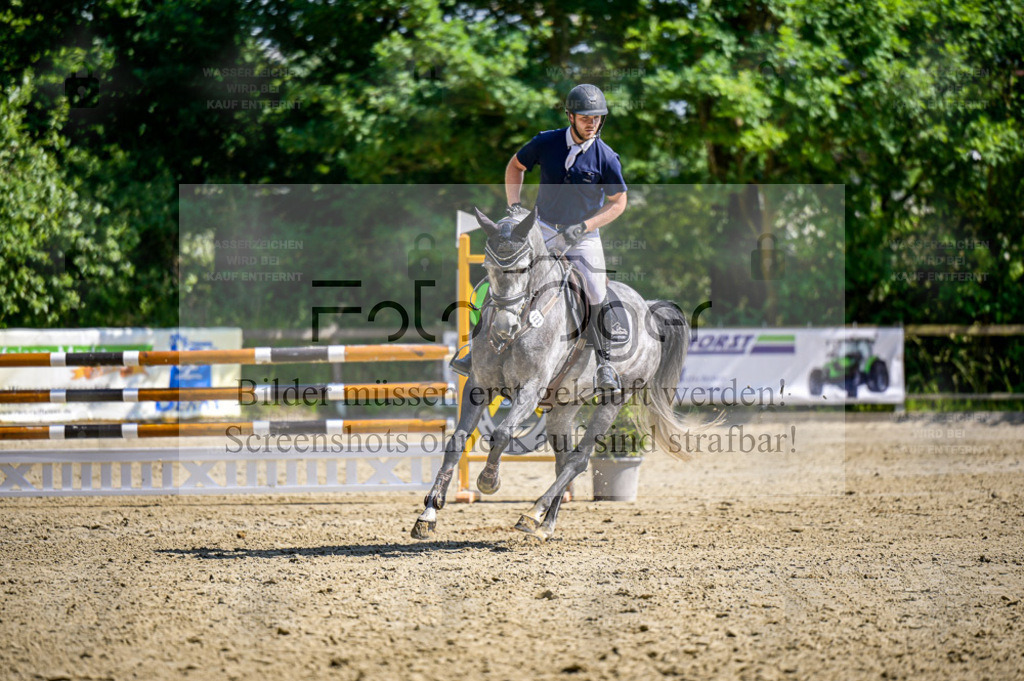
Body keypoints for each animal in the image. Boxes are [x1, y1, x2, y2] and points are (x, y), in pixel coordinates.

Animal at [411, 204, 692, 540]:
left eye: (524, 269)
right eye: (488, 268)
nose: (504, 329)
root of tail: (648, 306)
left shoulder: (531, 388)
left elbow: (502, 433)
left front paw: (489, 481)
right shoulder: (479, 386)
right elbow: (457, 441)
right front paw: (429, 513)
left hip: (615, 399)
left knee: (578, 460)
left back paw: (533, 512)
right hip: (563, 406)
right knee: (563, 460)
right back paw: (544, 525)